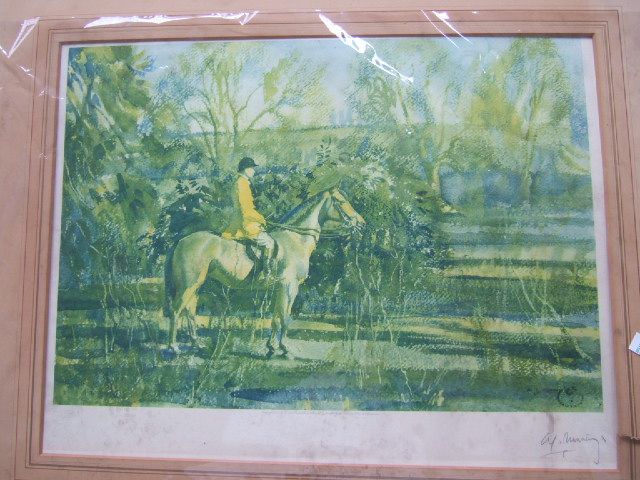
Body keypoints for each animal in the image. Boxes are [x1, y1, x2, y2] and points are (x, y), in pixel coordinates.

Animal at [166, 187, 365, 356]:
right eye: (342, 201)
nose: (362, 224)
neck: (295, 239)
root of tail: (181, 240)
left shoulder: (280, 288)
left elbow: (276, 318)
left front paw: (271, 347)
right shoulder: (289, 286)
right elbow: (284, 317)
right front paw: (284, 349)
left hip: (197, 284)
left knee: (190, 311)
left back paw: (196, 344)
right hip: (189, 284)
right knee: (176, 310)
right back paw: (174, 347)